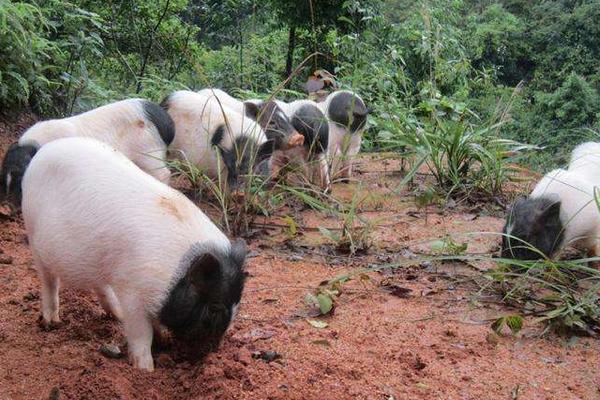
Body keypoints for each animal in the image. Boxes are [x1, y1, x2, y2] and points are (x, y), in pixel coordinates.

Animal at [21, 138, 246, 372]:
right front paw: (146, 369)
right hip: (33, 236)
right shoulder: (133, 293)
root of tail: (44, 150)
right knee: (49, 281)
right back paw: (52, 323)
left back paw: (115, 314)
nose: (210, 354)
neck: (173, 275)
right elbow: (141, 333)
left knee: (99, 285)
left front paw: (163, 341)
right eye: (214, 308)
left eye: (237, 306)